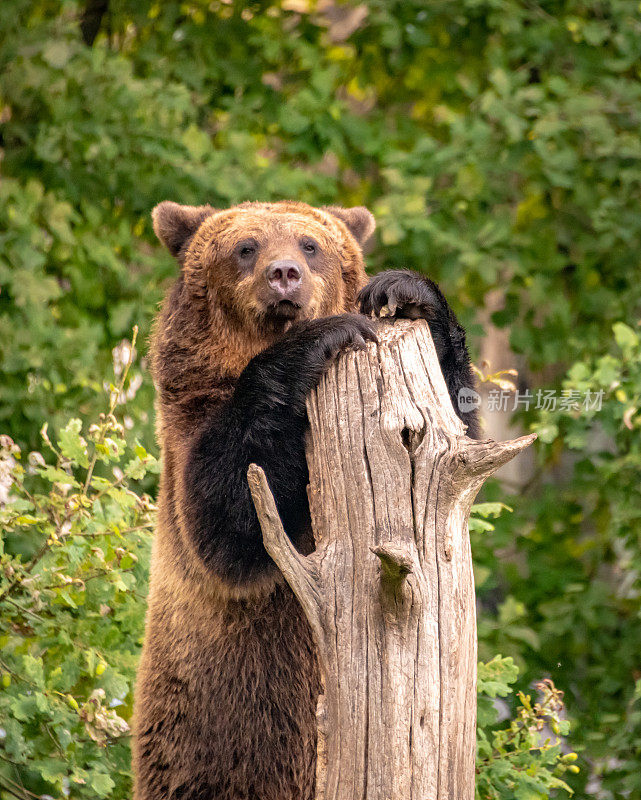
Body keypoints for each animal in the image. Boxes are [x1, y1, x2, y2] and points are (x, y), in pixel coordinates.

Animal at [132, 198, 478, 800]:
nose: (284, 273)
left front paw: (408, 293)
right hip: (209, 753)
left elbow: (459, 443)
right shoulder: (190, 435)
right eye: (245, 247)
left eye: (310, 244)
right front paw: (323, 336)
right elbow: (226, 523)